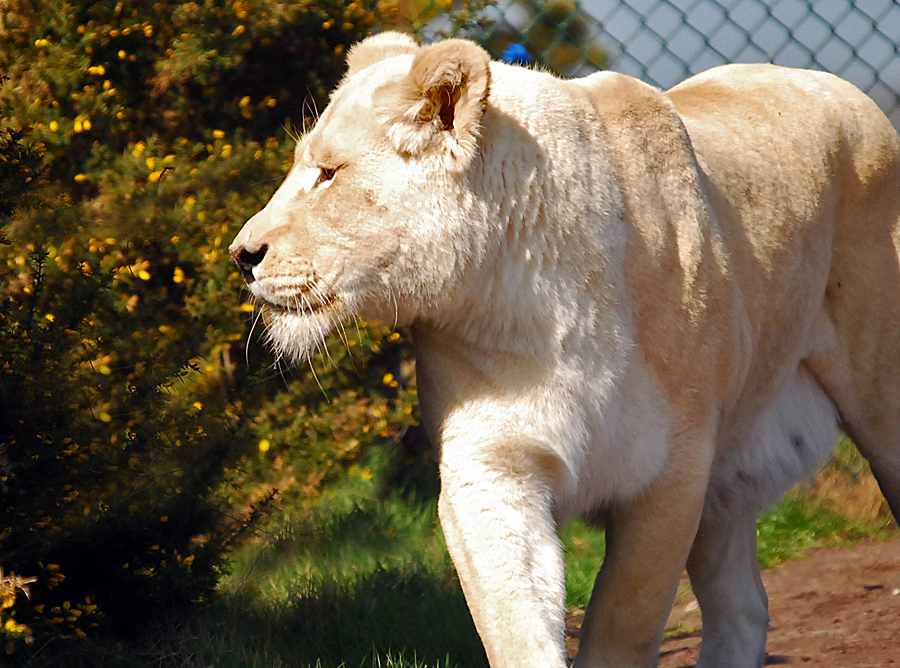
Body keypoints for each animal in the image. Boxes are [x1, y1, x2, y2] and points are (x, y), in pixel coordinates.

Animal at [230, 32, 900, 668]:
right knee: (744, 608)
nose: (241, 254)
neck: (539, 311)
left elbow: (623, 626)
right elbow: (516, 624)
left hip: (873, 400)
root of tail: (827, 82)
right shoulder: (491, 468)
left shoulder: (674, 473)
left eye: (328, 173)